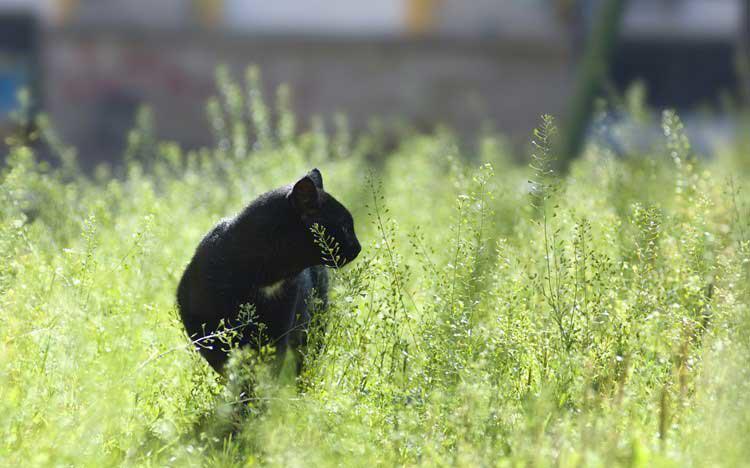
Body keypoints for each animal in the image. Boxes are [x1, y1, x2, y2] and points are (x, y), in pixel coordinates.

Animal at [178, 169, 362, 372]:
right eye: (345, 226)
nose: (358, 247)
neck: (266, 277)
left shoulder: (279, 329)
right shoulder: (205, 329)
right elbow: (229, 364)